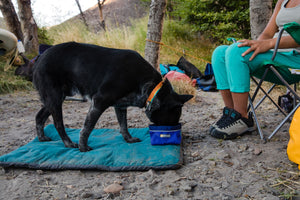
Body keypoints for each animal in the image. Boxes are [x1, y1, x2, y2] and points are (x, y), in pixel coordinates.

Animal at [32, 42, 192, 152]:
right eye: (172, 120)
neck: (151, 86)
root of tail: (40, 58)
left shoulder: (120, 106)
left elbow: (123, 125)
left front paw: (129, 139)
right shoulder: (99, 101)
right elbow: (87, 127)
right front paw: (83, 147)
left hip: (55, 99)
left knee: (39, 116)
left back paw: (42, 138)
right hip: (55, 98)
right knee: (58, 124)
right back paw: (68, 143)